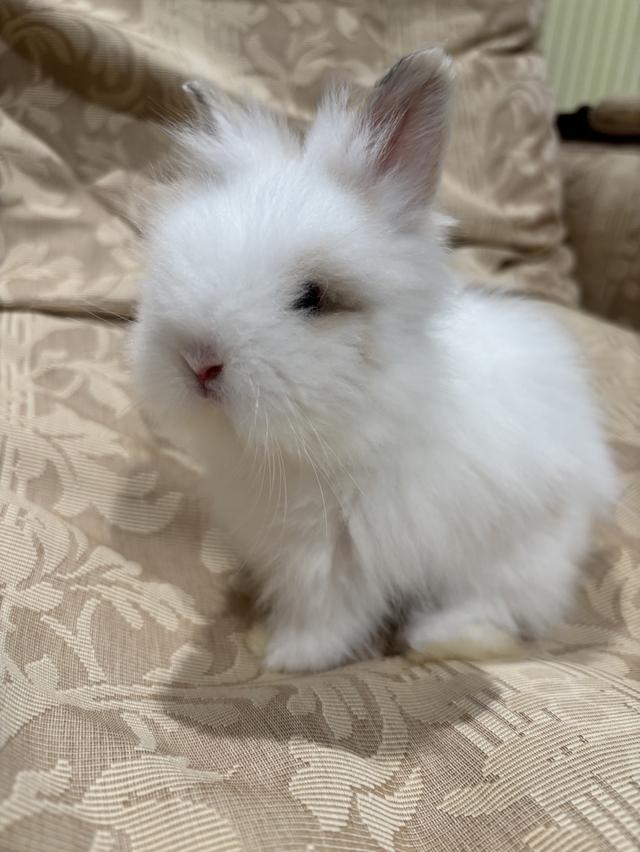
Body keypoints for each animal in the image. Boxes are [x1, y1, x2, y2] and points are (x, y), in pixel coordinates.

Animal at [130, 49, 617, 673]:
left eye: (314, 297)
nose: (198, 361)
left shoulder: (338, 557)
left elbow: (324, 617)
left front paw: (280, 655)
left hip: (515, 555)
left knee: (503, 609)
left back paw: (435, 639)